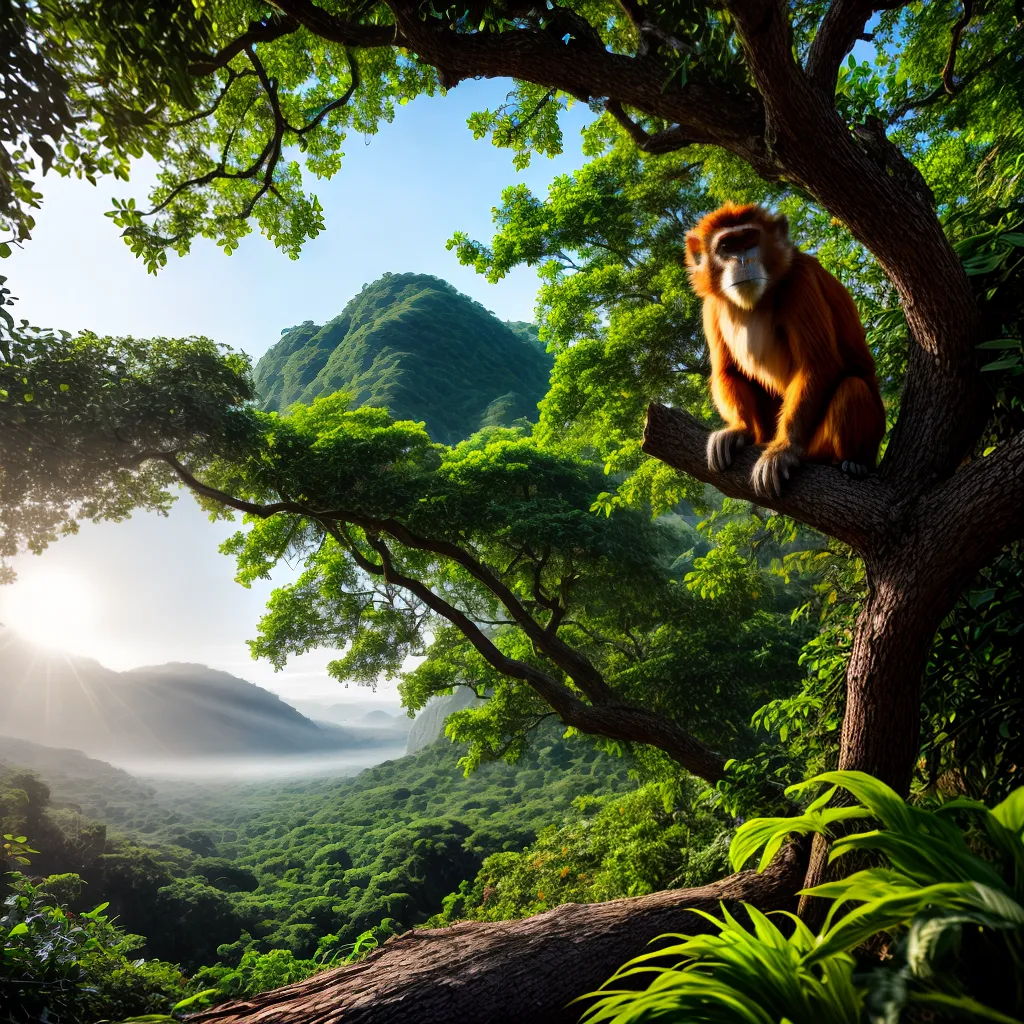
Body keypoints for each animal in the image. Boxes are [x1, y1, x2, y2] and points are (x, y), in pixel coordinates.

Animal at [684, 203, 886, 499]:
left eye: (749, 240)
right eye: (727, 246)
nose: (742, 261)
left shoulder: (800, 280)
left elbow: (817, 364)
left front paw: (784, 449)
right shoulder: (711, 304)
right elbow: (726, 370)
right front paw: (740, 429)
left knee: (853, 388)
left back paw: (853, 463)